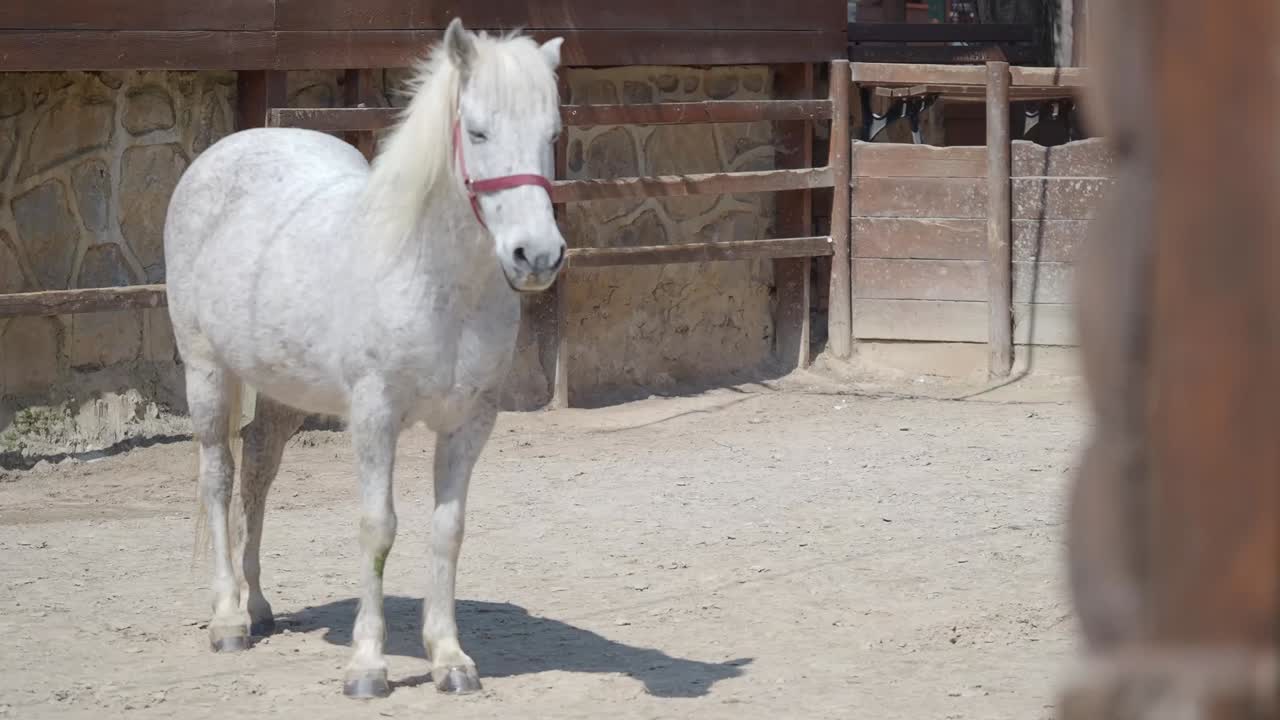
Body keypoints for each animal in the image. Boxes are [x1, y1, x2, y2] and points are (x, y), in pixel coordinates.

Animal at [163, 19, 566, 698]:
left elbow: (448, 531)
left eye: (551, 135)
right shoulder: (376, 415)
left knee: (258, 469)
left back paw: (259, 606)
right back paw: (228, 619)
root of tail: (225, 153)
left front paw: (449, 658)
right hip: (207, 371)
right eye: (478, 131)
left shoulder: (470, 422)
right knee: (218, 477)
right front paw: (368, 666)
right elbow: (378, 529)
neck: (436, 281)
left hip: (283, 388)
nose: (536, 256)